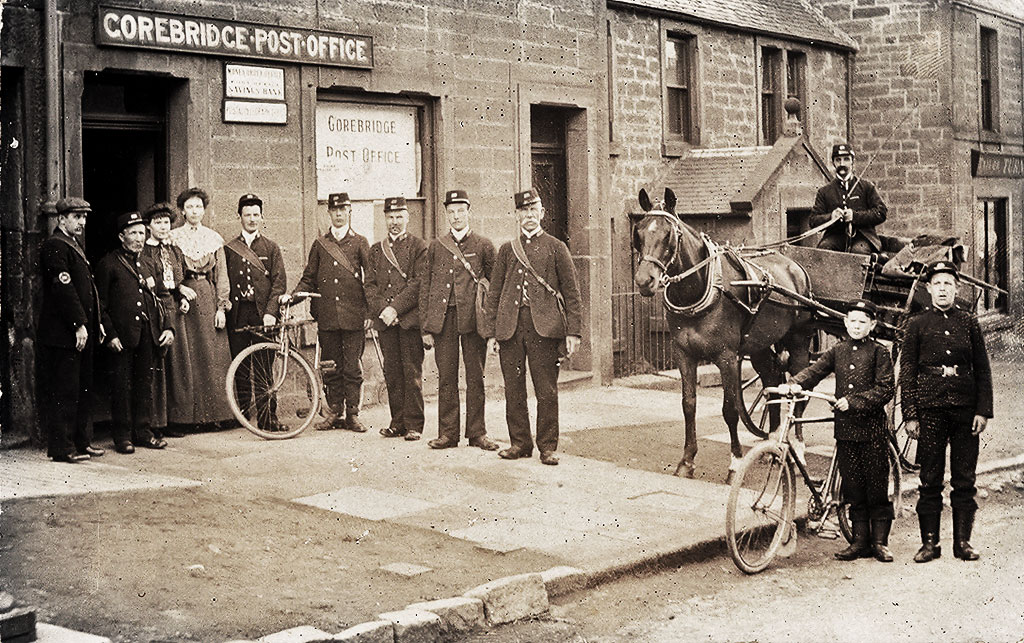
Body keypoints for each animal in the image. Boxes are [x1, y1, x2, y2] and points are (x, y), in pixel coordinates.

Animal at [626, 186, 811, 477]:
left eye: (668, 234)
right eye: (639, 232)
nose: (645, 281)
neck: (701, 288)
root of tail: (795, 266)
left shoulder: (727, 357)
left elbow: (730, 409)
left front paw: (735, 461)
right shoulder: (684, 354)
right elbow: (688, 404)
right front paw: (687, 461)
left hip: (799, 341)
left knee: (799, 392)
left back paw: (799, 450)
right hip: (758, 345)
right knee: (771, 379)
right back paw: (772, 442)